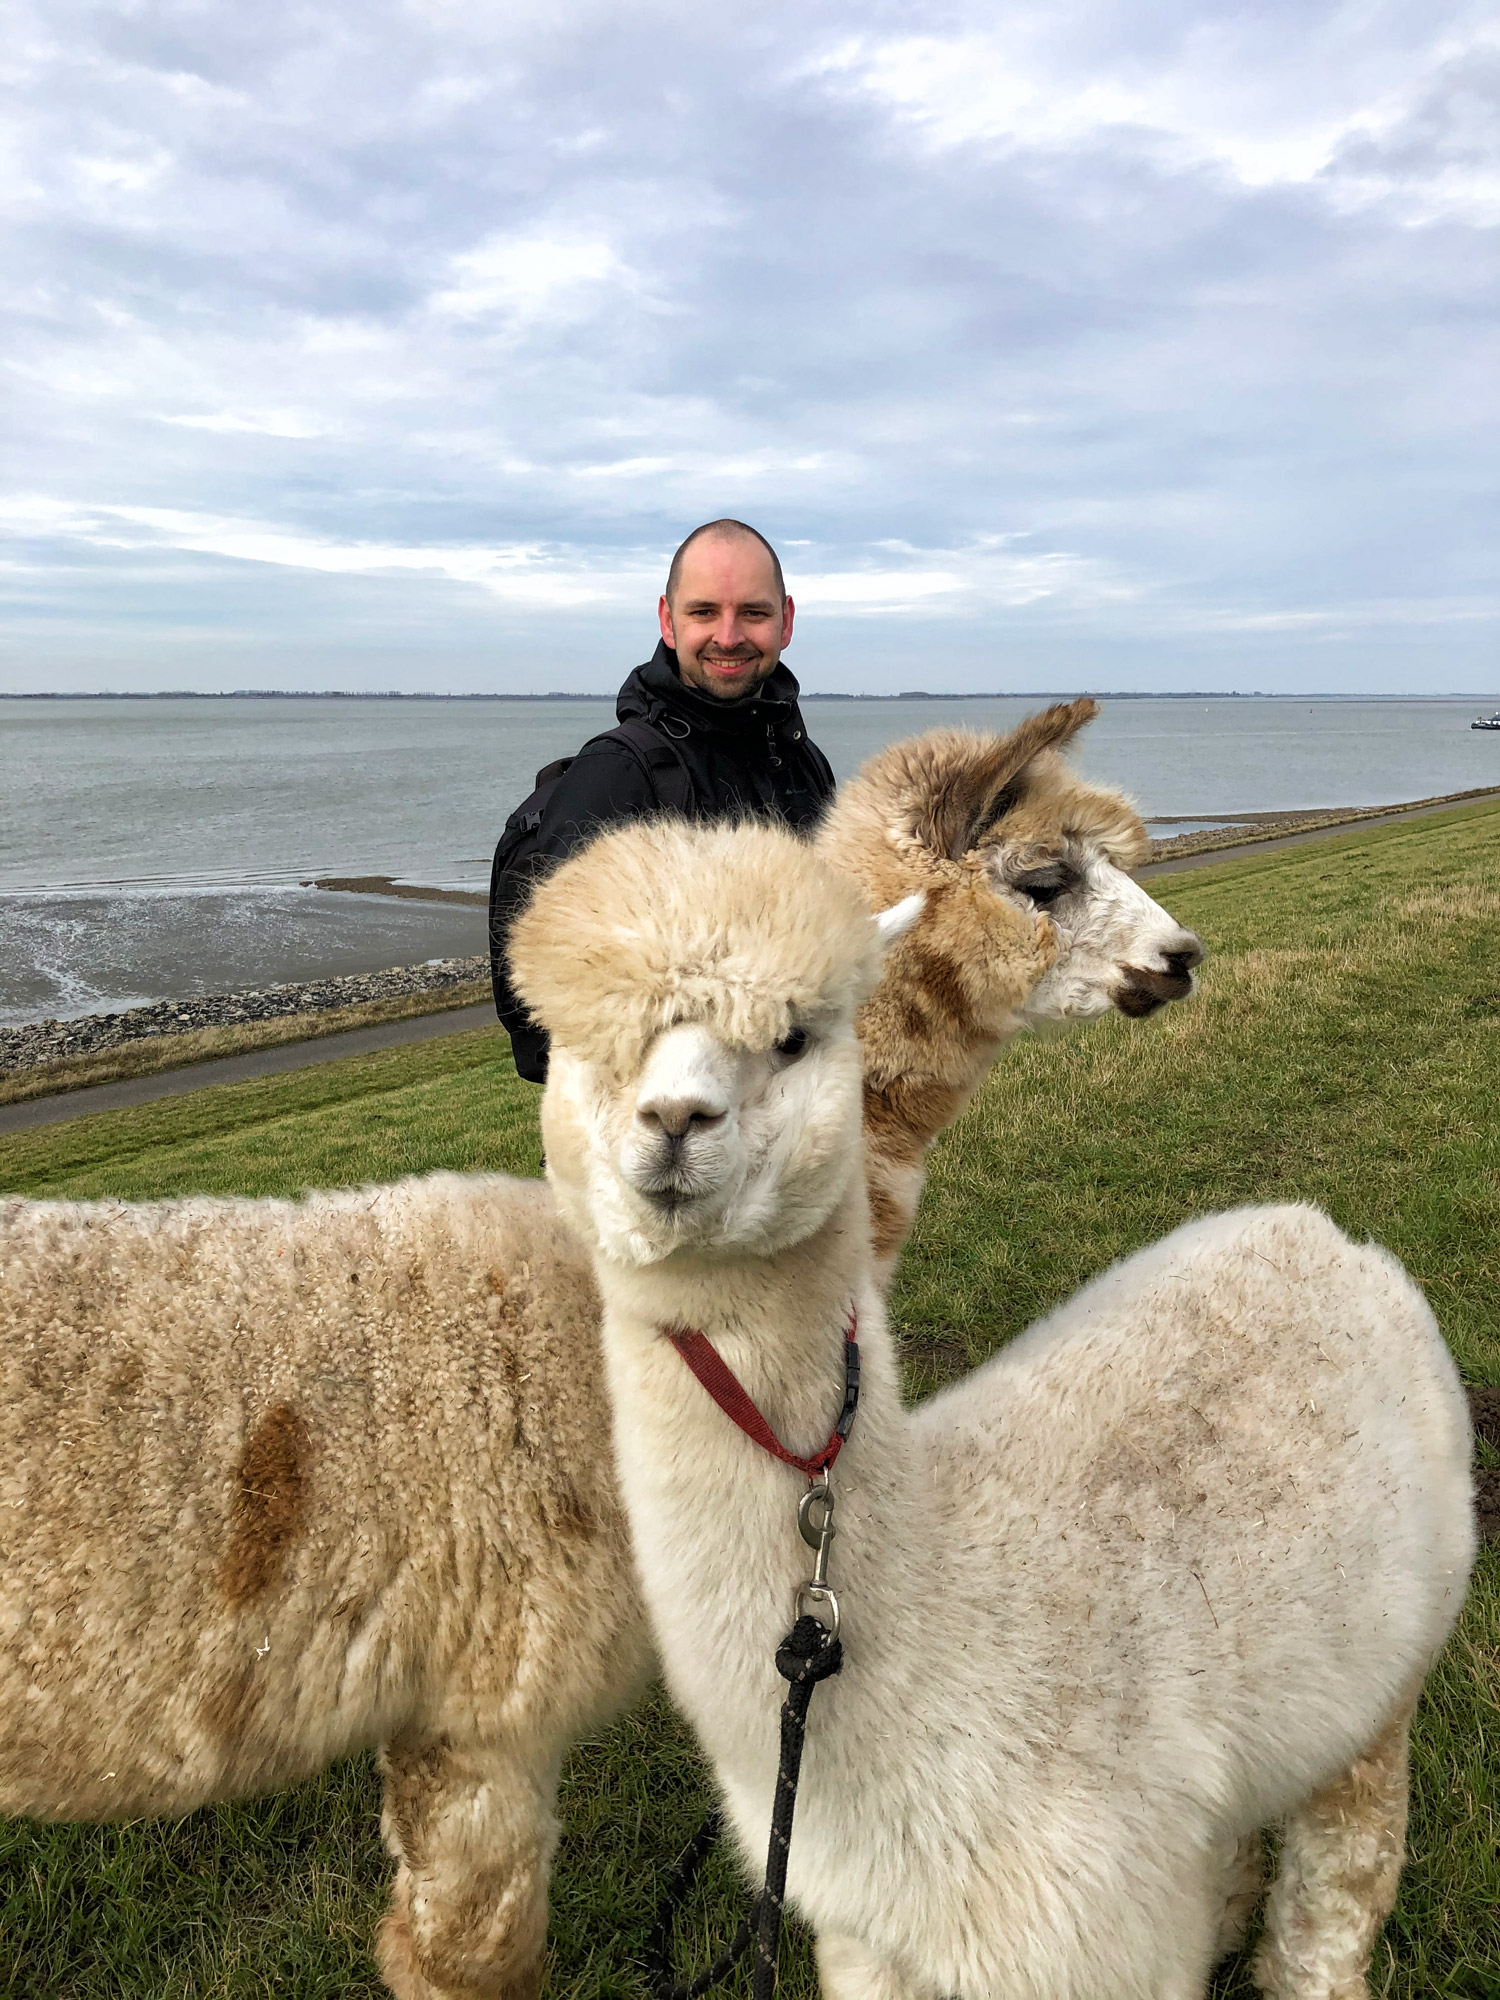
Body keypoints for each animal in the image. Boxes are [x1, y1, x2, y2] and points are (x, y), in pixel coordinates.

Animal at [513, 813, 1476, 2000]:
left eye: (796, 1035)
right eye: (579, 1040)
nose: (674, 1120)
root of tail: (1321, 1230)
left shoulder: (1093, 1937)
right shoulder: (864, 1937)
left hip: (1394, 1672)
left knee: (1339, 1879)